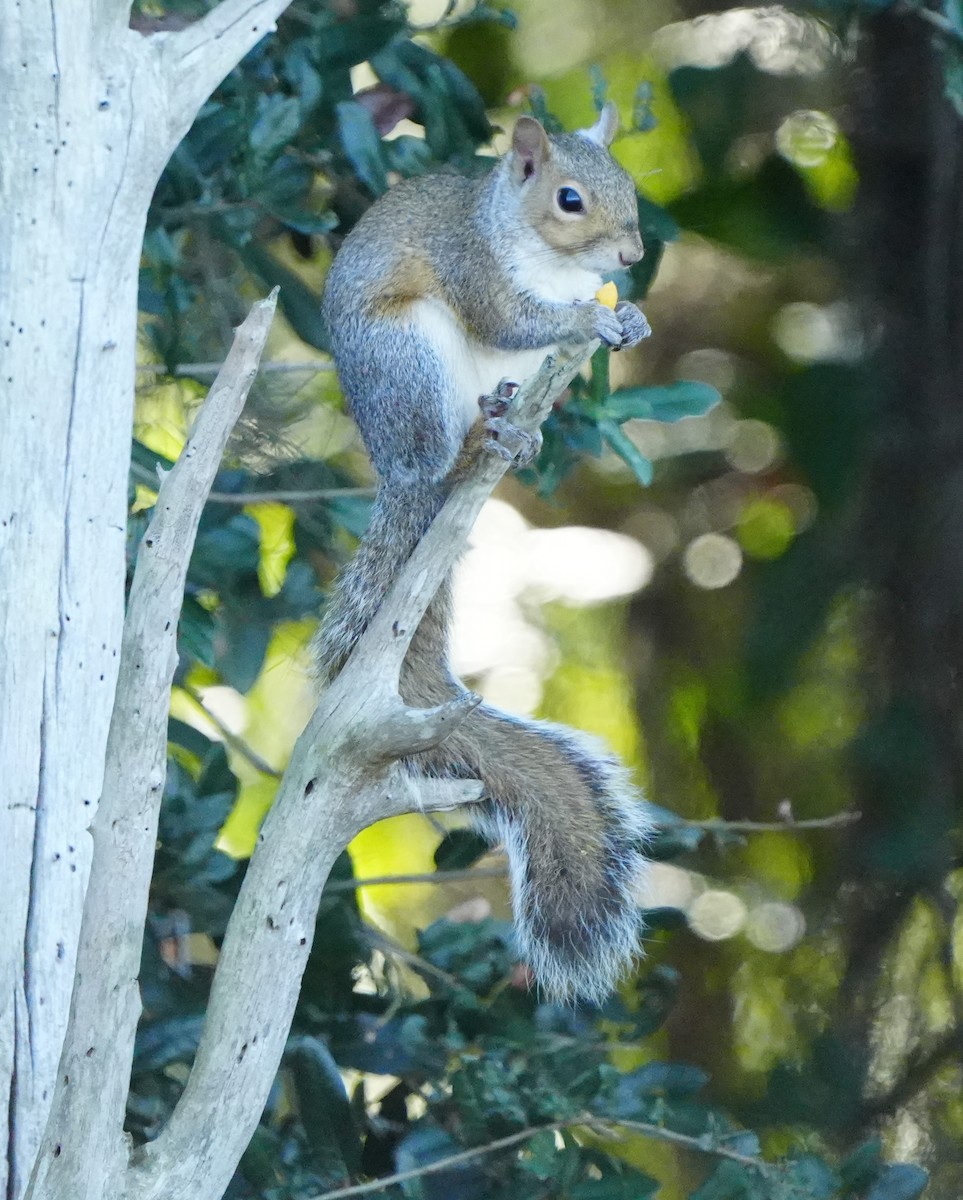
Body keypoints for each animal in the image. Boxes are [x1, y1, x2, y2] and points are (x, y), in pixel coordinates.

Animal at [317, 102, 654, 1004]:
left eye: (628, 184)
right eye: (569, 198)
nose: (631, 258)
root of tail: (392, 468)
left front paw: (630, 317)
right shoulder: (472, 266)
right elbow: (511, 317)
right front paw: (588, 320)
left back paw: (517, 432)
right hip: (410, 358)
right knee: (437, 457)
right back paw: (474, 445)